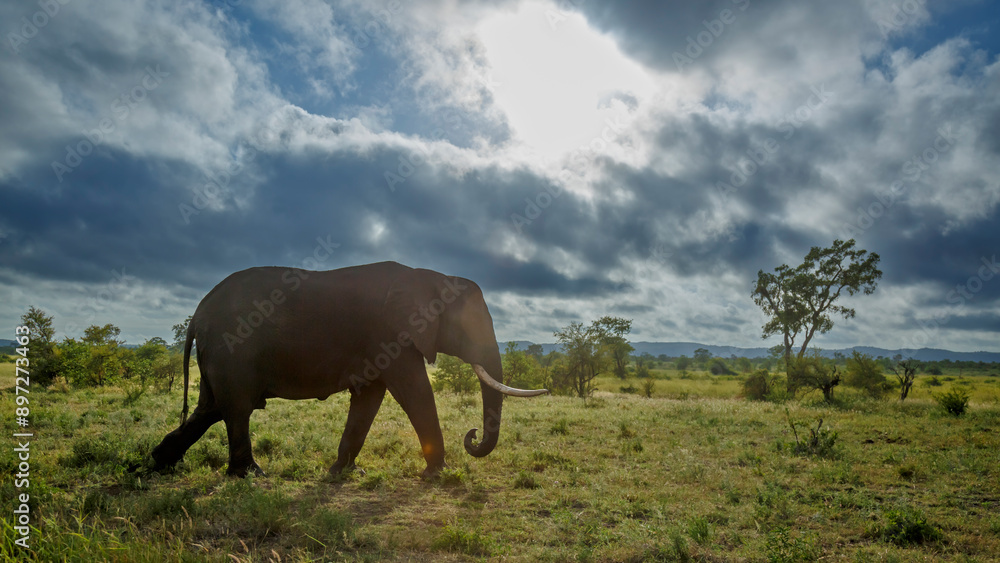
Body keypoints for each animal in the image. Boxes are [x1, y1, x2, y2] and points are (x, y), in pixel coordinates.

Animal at [151, 261, 548, 479]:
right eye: (468, 327)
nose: (472, 436)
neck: (431, 277)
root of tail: (198, 314)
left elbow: (369, 398)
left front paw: (345, 472)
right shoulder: (390, 333)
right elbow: (414, 391)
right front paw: (439, 474)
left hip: (220, 354)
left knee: (211, 408)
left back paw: (159, 464)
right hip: (232, 347)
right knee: (236, 408)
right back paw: (250, 476)